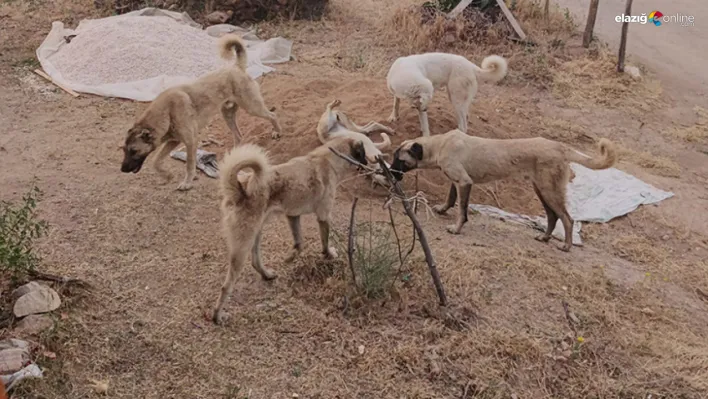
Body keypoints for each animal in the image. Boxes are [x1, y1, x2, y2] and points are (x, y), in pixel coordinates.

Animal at [121, 32, 282, 192]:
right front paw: (167, 176)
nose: (122, 170)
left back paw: (277, 132)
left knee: (272, 115)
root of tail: (236, 67)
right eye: (124, 150)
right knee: (239, 135)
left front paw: (187, 183)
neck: (166, 113)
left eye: (134, 151)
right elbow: (156, 161)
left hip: (252, 107)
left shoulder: (190, 141)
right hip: (228, 114)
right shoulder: (173, 140)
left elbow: (189, 164)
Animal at [212, 136, 368, 324]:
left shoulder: (293, 215)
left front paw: (290, 257)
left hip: (256, 233)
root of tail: (241, 190)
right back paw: (217, 315)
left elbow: (299, 243)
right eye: (364, 153)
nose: (368, 163)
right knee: (226, 286)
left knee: (255, 261)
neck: (329, 159)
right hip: (243, 245)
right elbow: (325, 241)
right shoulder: (323, 216)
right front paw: (328, 254)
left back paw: (266, 275)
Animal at [390, 130, 616, 252]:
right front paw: (443, 210)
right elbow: (451, 199)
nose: (391, 173)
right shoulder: (456, 182)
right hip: (541, 190)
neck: (439, 145)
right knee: (553, 217)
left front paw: (457, 228)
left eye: (399, 160)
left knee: (567, 219)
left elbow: (462, 210)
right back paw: (544, 238)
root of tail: (560, 146)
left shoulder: (464, 182)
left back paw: (566, 246)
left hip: (549, 191)